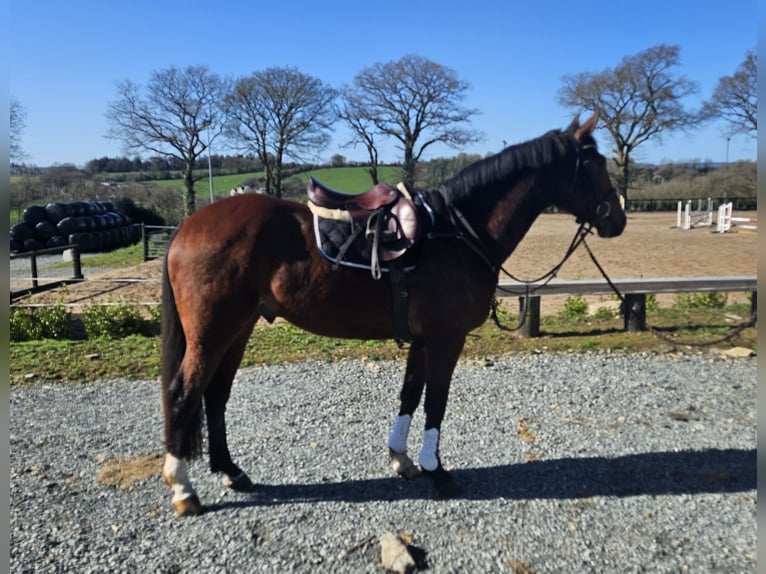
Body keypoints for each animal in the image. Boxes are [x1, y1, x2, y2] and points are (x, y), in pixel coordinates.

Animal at [160, 112, 626, 516]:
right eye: (594, 164)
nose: (617, 220)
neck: (455, 233)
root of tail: (188, 225)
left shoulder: (422, 339)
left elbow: (410, 394)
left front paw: (402, 459)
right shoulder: (446, 338)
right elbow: (436, 401)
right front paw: (438, 472)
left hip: (238, 328)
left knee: (216, 395)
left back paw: (231, 471)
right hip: (212, 332)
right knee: (184, 393)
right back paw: (183, 489)